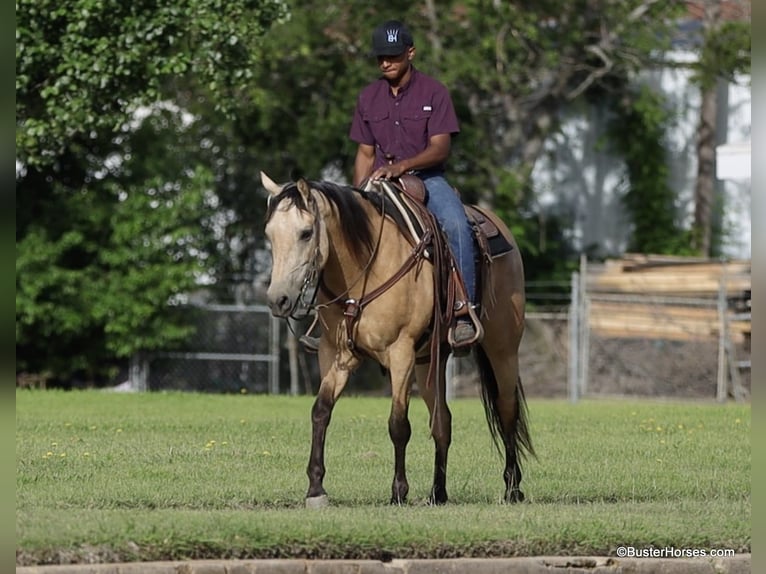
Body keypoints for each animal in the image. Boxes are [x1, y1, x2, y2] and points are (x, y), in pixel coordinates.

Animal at [261, 171, 534, 507]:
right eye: (269, 234)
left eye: (306, 232)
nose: (278, 300)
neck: (366, 267)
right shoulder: (335, 354)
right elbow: (321, 411)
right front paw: (316, 489)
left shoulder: (400, 352)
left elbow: (398, 424)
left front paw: (399, 491)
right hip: (429, 361)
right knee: (442, 422)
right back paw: (438, 492)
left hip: (502, 349)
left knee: (507, 410)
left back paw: (512, 488)